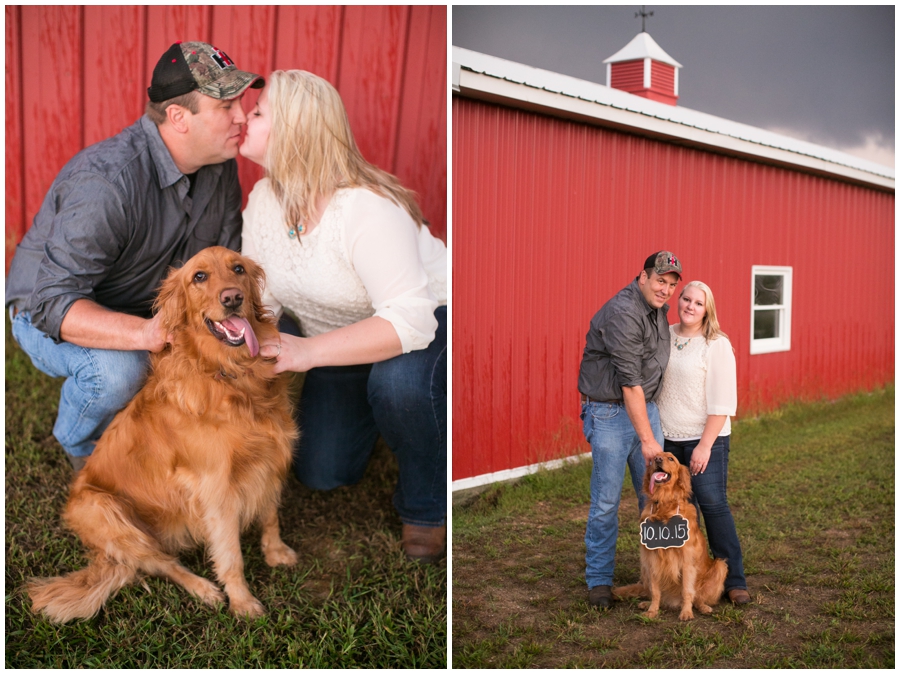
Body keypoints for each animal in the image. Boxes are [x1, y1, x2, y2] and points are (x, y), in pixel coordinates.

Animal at [25, 245, 296, 620]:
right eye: (199, 276)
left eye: (238, 269)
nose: (232, 298)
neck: (230, 375)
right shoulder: (217, 488)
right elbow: (231, 555)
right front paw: (242, 602)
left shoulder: (270, 457)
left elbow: (270, 514)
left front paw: (276, 552)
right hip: (106, 511)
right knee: (159, 564)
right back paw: (203, 588)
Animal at [612, 452, 732, 620]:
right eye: (654, 457)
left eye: (671, 459)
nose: (657, 459)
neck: (664, 504)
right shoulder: (652, 560)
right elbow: (656, 592)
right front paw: (652, 610)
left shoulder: (687, 562)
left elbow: (687, 591)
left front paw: (686, 612)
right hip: (645, 567)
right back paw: (646, 604)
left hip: (720, 565)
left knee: (698, 597)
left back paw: (703, 607)